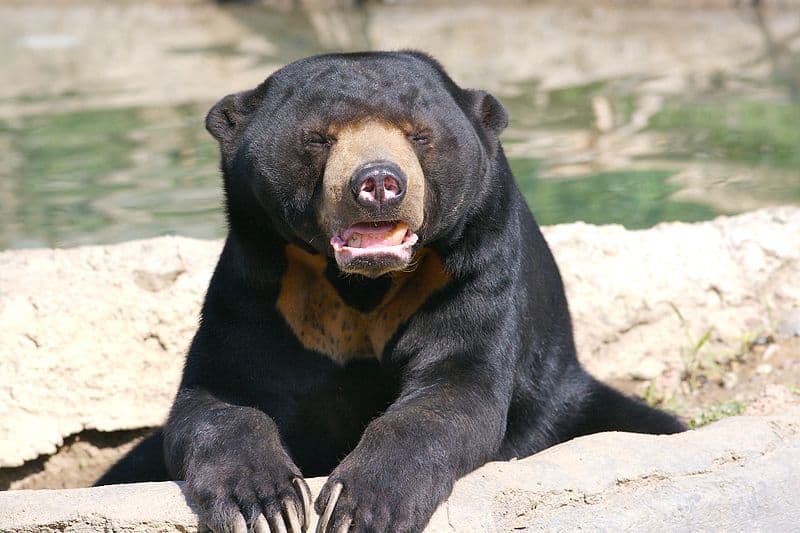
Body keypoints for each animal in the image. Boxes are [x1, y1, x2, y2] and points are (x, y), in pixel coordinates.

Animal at [98, 51, 688, 532]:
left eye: (419, 134)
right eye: (319, 137)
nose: (379, 182)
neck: (364, 283)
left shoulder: (470, 274)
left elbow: (453, 389)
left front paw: (359, 505)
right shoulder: (263, 285)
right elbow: (221, 395)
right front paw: (266, 506)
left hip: (563, 398)